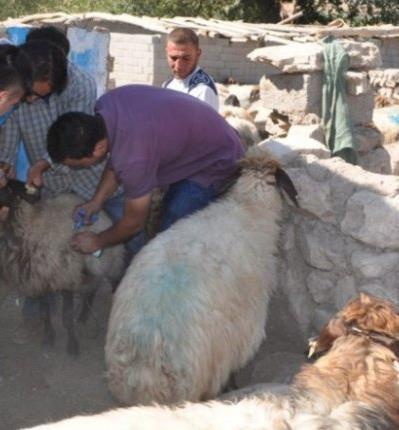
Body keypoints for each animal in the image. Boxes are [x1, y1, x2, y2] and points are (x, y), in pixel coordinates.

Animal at [0, 180, 125, 354]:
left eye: (9, 189)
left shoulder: (66, 277)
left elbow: (66, 315)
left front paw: (72, 345)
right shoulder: (41, 279)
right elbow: (45, 312)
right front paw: (48, 337)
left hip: (109, 260)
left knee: (106, 283)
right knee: (92, 288)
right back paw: (83, 317)